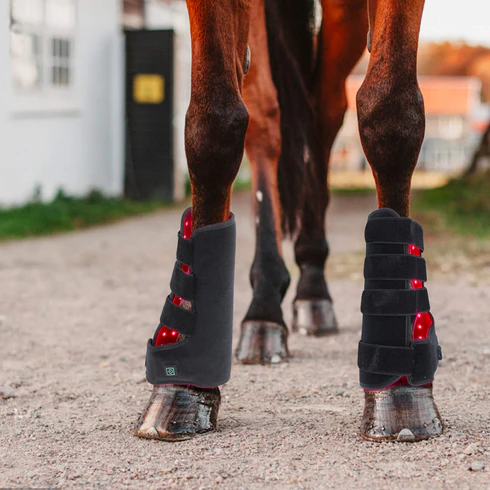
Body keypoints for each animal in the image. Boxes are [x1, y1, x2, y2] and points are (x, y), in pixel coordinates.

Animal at [132, 0, 442, 444]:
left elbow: (391, 114)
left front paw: (401, 393)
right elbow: (212, 125)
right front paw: (183, 387)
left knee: (324, 112)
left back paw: (312, 285)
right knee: (266, 120)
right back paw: (264, 307)